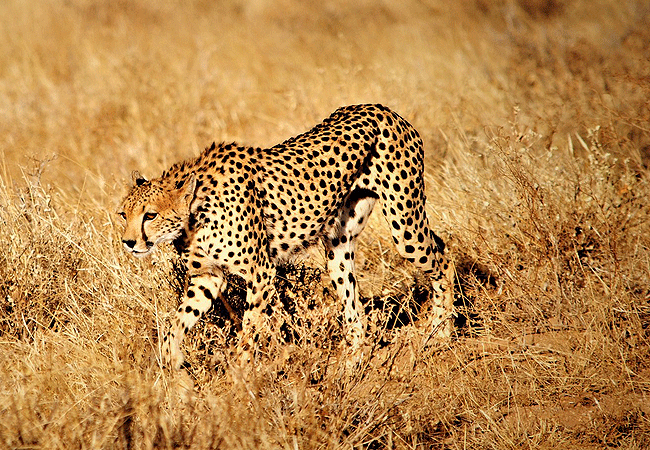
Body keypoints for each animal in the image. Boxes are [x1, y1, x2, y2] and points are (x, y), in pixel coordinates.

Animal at [117, 104, 454, 369]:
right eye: (123, 215)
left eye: (150, 215)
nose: (129, 243)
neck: (195, 214)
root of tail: (383, 109)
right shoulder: (208, 277)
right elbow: (176, 323)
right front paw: (172, 362)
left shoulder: (261, 272)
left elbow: (249, 331)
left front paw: (239, 379)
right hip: (338, 245)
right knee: (352, 301)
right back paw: (352, 362)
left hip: (404, 225)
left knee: (442, 257)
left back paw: (441, 332)